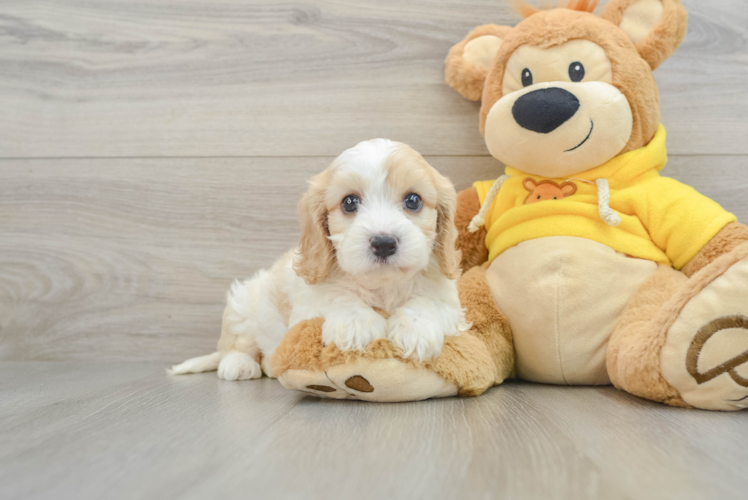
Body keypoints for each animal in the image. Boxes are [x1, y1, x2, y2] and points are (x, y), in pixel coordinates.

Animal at [172, 139, 470, 380]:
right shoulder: (307, 302)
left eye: (413, 200)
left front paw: (416, 330)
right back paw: (239, 365)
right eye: (349, 202)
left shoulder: (448, 300)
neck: (381, 285)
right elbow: (337, 297)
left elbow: (428, 303)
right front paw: (355, 324)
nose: (384, 243)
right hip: (244, 303)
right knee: (236, 345)